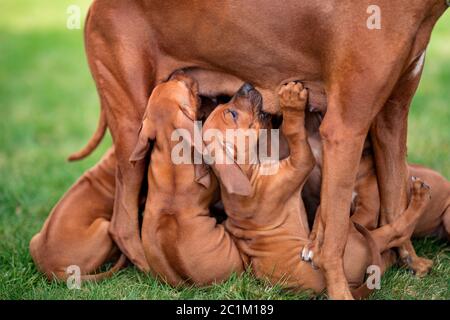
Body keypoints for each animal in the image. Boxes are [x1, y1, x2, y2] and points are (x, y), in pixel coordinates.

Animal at [199, 82, 430, 298]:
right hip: (360, 241)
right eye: (232, 114)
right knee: (393, 230)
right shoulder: (301, 162)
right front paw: (292, 101)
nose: (245, 86)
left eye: (227, 108)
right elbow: (294, 133)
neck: (249, 174)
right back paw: (420, 197)